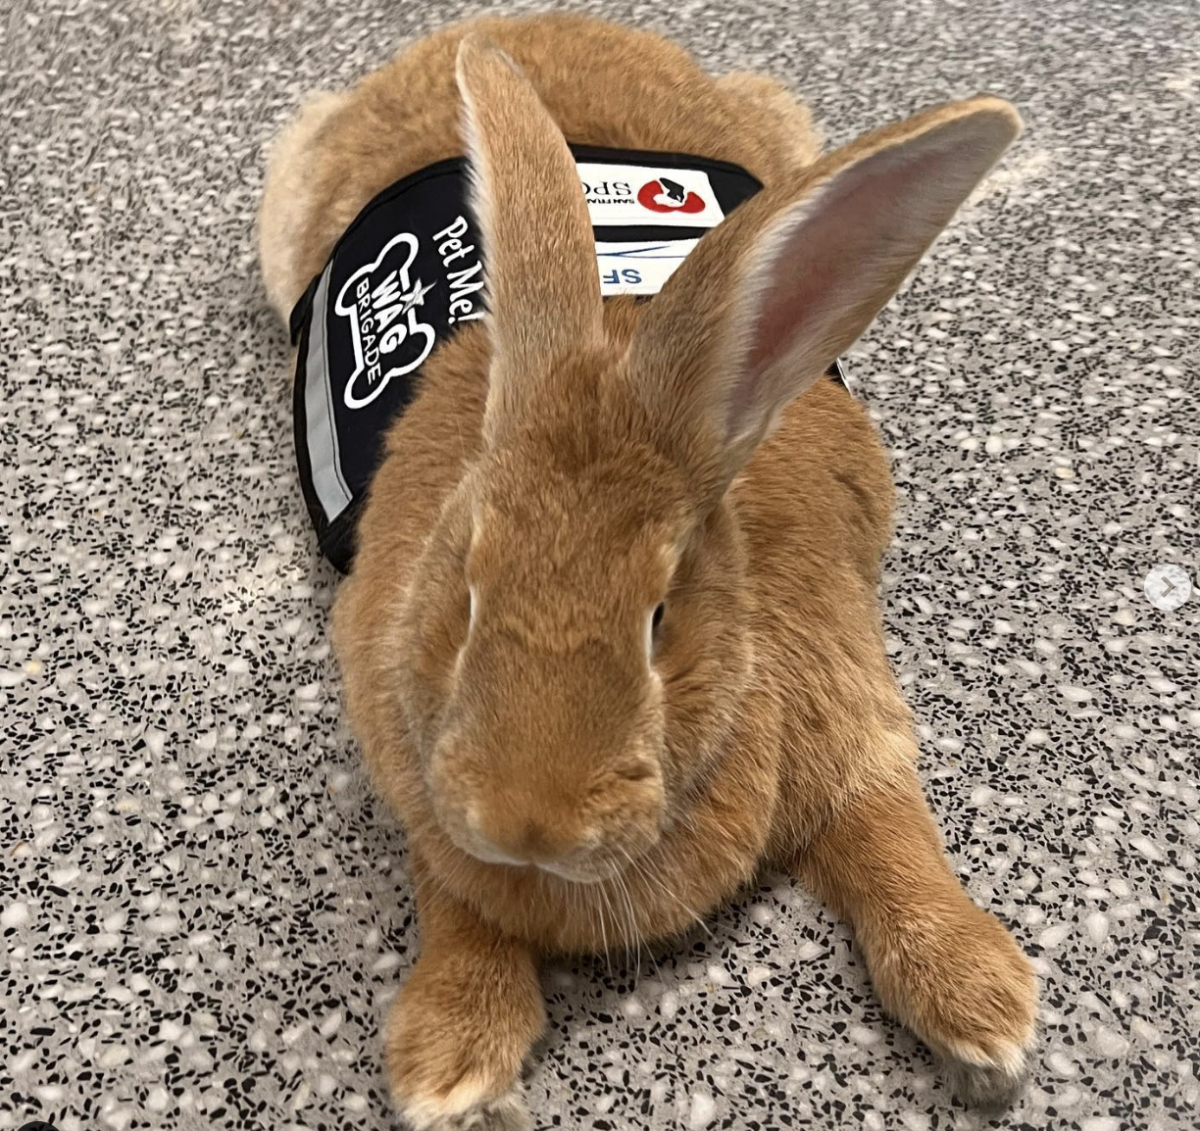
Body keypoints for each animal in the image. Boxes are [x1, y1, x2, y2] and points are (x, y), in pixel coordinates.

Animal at [258, 11, 1036, 1131]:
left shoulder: (849, 706)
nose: (528, 822)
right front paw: (450, 1064)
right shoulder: (420, 783)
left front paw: (985, 1013)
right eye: (466, 589)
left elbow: (894, 834)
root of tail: (521, 22)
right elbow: (454, 899)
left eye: (660, 617)